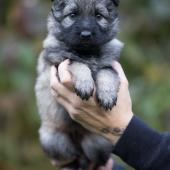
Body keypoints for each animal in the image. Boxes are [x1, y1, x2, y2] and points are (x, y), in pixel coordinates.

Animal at [35, 0, 123, 169]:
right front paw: (84, 83)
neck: (87, 52)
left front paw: (107, 95)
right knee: (71, 159)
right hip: (54, 140)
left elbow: (106, 73)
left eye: (98, 16)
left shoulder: (110, 65)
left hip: (98, 142)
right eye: (73, 15)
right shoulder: (58, 65)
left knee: (95, 161)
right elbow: (77, 62)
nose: (86, 35)